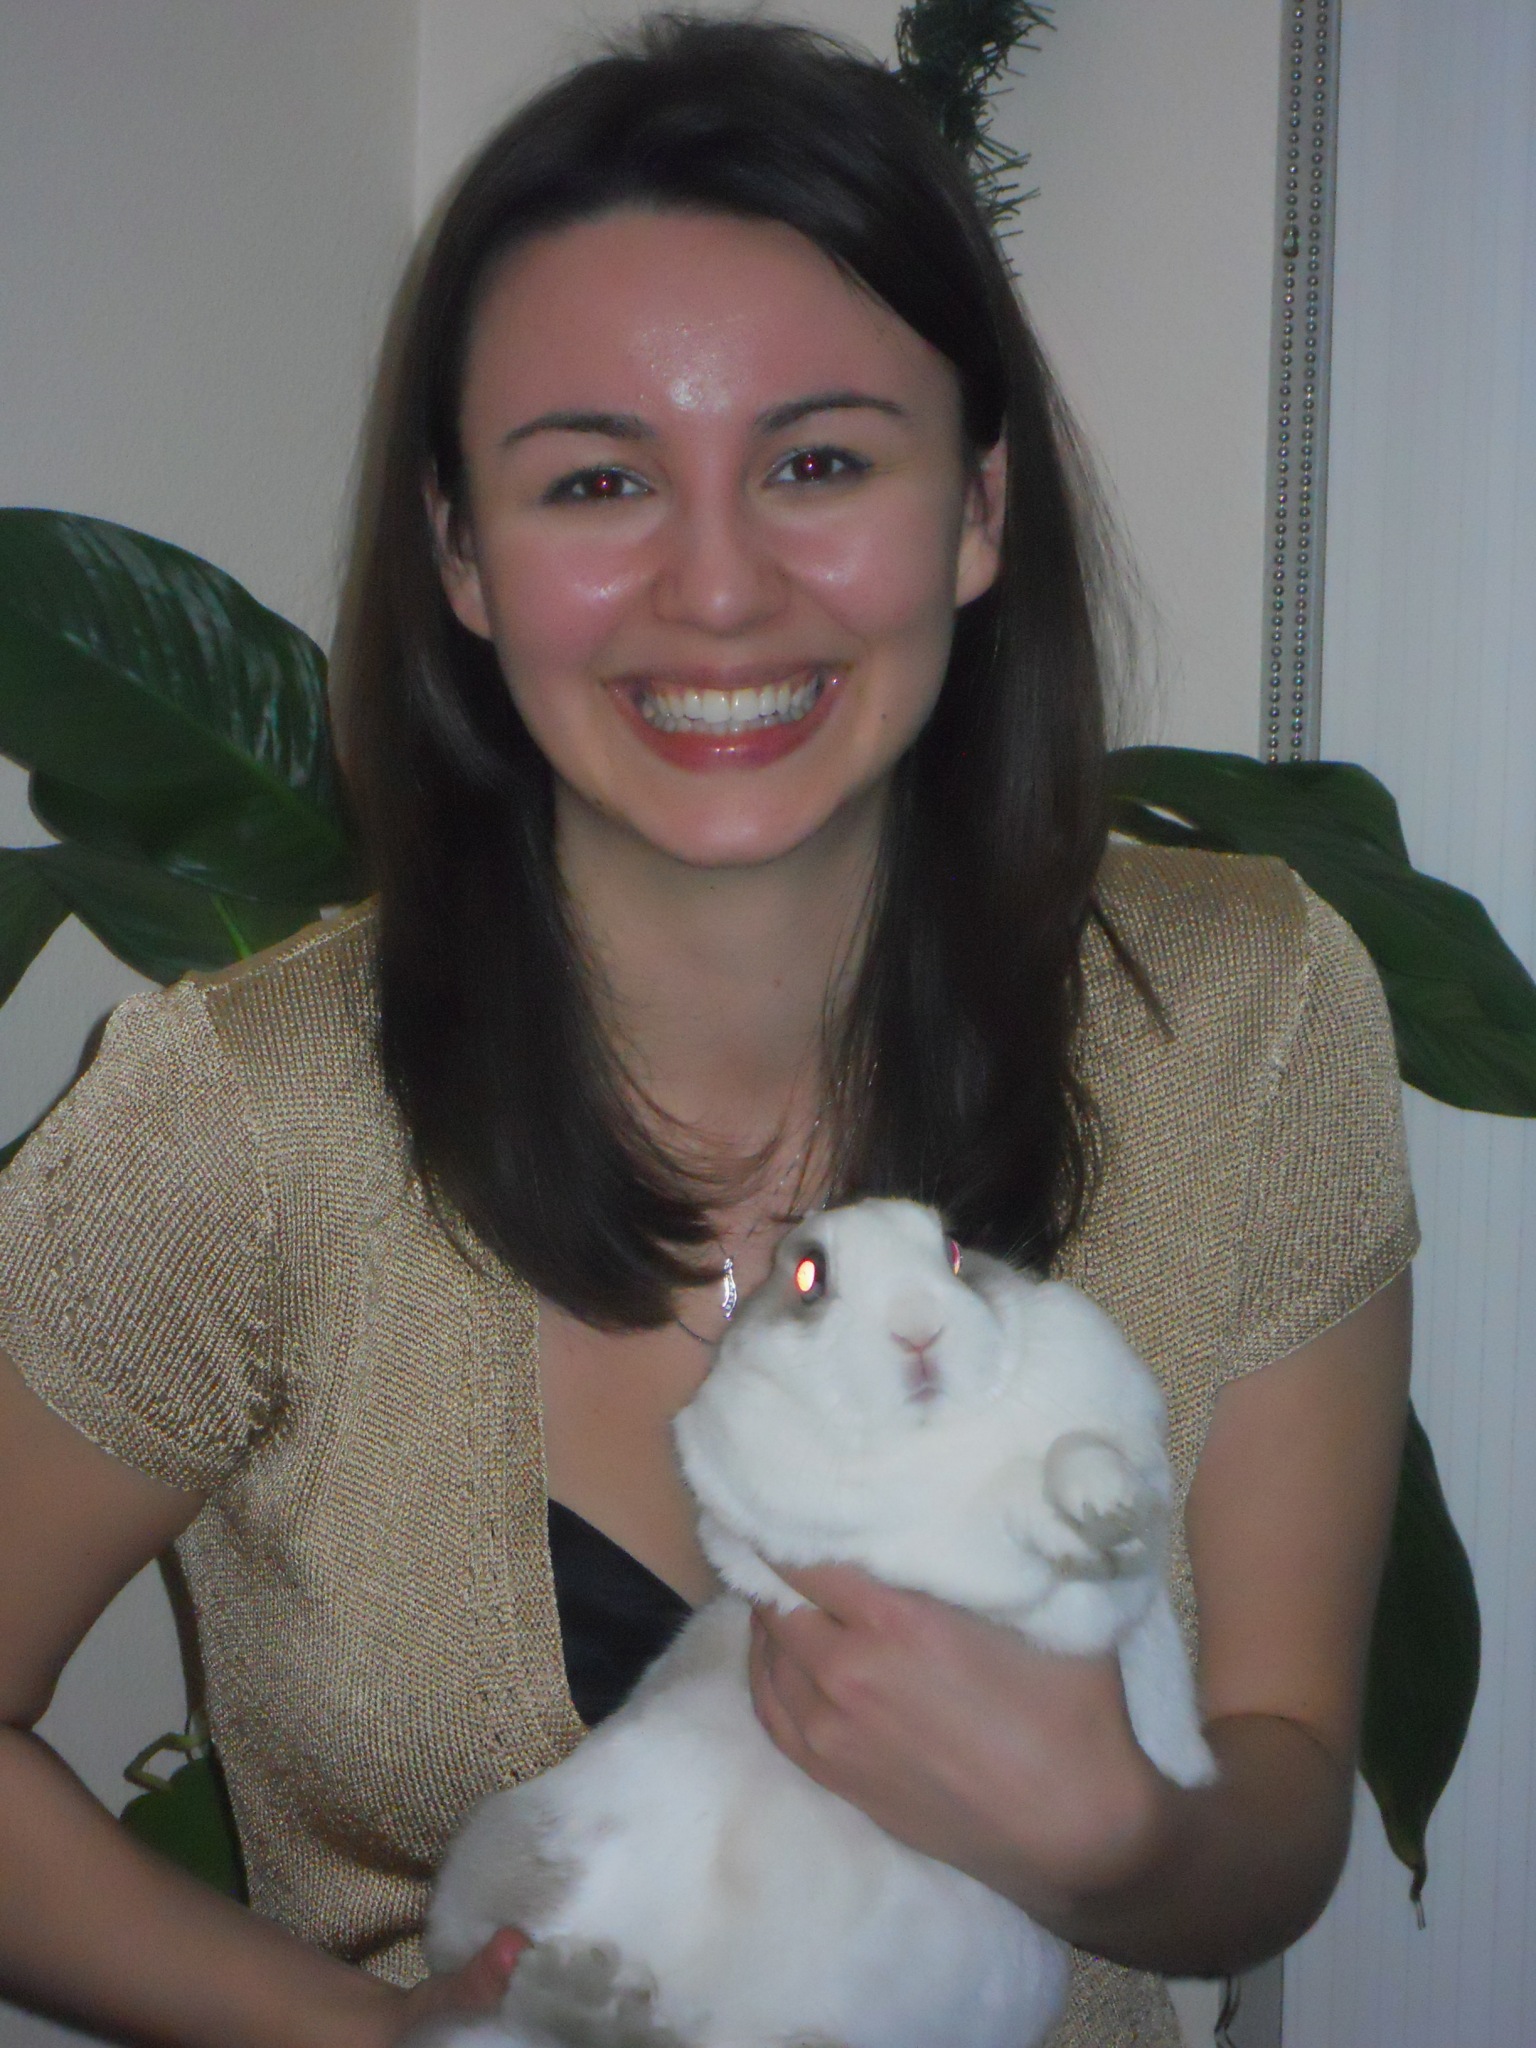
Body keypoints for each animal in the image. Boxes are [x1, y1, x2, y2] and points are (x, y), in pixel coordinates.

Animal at [421, 1198, 1217, 2048]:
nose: (920, 1330)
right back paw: (584, 1988)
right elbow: (981, 1525)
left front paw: (1103, 1507)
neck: (936, 1437)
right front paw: (1064, 1520)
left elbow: (1081, 1486)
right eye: (809, 1275)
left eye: (954, 1251)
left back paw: (599, 1997)